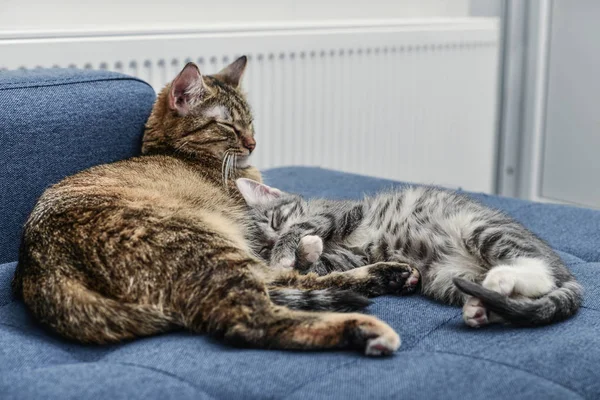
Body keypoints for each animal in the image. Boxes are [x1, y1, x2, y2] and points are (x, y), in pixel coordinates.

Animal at [11, 57, 414, 356]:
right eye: (229, 126)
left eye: (251, 122)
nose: (253, 142)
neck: (181, 154)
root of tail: (45, 271)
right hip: (207, 245)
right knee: (256, 316)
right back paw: (365, 325)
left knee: (282, 281)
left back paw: (386, 276)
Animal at [237, 179, 584, 328]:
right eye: (261, 247)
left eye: (277, 221)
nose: (275, 241)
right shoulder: (353, 258)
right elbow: (320, 266)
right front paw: (304, 253)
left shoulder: (341, 213)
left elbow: (307, 226)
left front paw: (292, 249)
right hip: (445, 278)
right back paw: (480, 307)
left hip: (478, 227)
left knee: (540, 272)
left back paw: (499, 280)